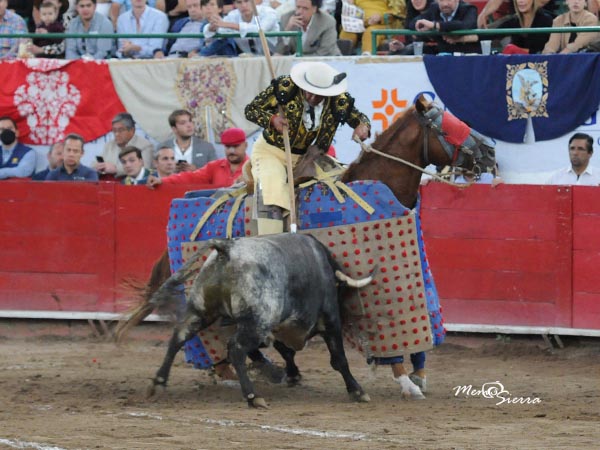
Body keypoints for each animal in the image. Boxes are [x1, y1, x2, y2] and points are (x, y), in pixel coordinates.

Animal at [147, 232, 376, 408]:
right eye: (340, 291)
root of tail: (226, 248)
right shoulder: (329, 322)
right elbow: (338, 359)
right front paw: (357, 391)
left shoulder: (277, 327)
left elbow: (287, 352)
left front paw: (292, 375)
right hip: (256, 323)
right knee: (236, 349)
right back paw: (253, 396)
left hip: (201, 311)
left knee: (178, 337)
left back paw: (158, 382)